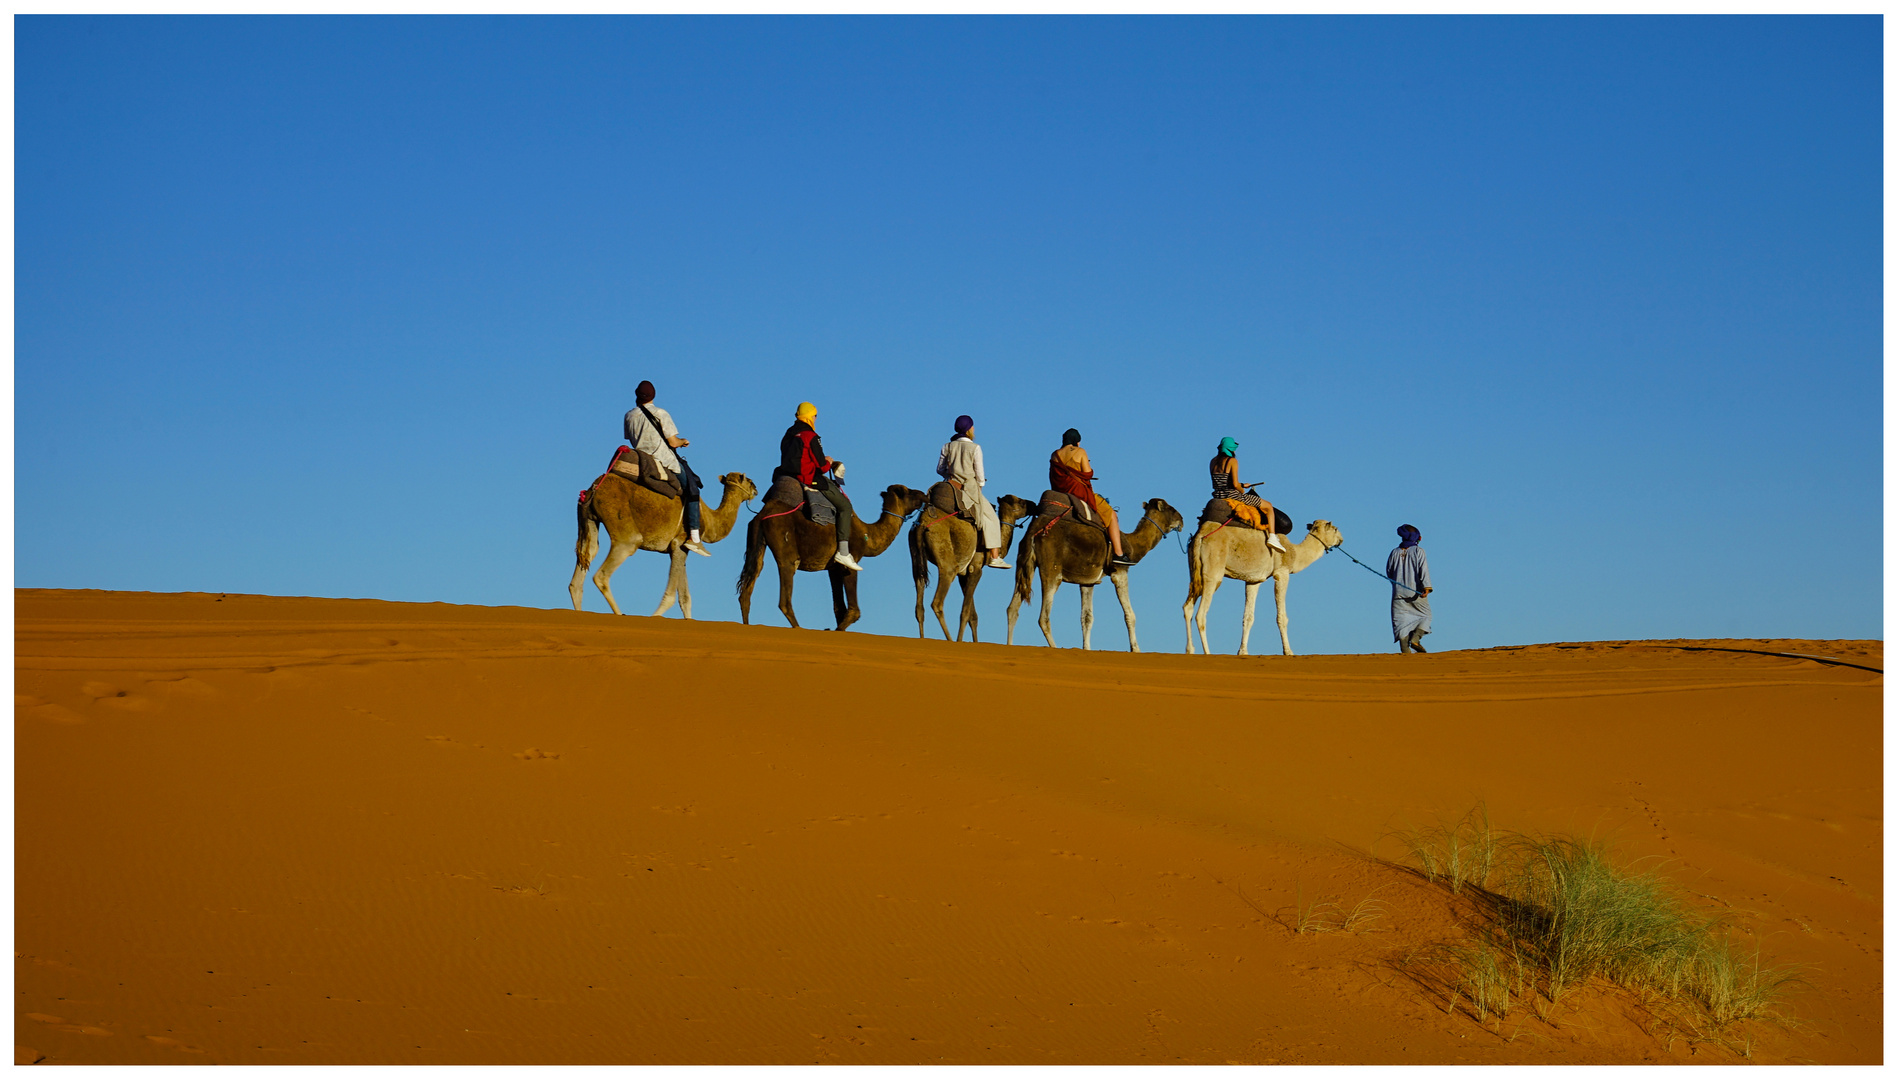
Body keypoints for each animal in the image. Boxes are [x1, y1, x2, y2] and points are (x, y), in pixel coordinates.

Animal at [569, 468, 755, 614]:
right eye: (749, 481)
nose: (756, 490)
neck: (709, 520)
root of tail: (594, 488)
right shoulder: (679, 543)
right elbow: (672, 597)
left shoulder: (679, 549)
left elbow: (685, 599)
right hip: (621, 524)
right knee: (604, 572)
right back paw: (621, 614)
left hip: (589, 520)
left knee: (585, 561)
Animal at [732, 482, 926, 626]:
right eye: (906, 491)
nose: (924, 494)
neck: (867, 534)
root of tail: (761, 515)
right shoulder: (851, 561)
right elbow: (853, 611)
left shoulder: (833, 568)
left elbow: (839, 609)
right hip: (785, 548)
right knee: (784, 599)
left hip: (757, 545)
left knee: (746, 591)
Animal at [907, 493, 1040, 641]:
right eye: (1021, 502)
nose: (1034, 505)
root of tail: (922, 524)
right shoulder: (975, 569)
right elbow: (965, 612)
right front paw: (960, 640)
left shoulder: (963, 575)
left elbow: (973, 616)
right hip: (947, 563)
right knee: (937, 602)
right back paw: (950, 639)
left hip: (916, 559)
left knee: (919, 605)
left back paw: (922, 638)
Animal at [1002, 493, 1176, 649]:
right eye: (1172, 509)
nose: (1180, 521)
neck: (1133, 544)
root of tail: (1034, 533)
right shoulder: (1120, 571)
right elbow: (1130, 615)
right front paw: (1136, 649)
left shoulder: (1087, 581)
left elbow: (1086, 618)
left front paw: (1086, 648)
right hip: (1051, 569)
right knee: (1043, 617)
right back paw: (1056, 647)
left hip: (1023, 564)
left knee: (1012, 608)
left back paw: (1009, 645)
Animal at [1176, 516, 1343, 656]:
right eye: (1335, 529)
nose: (1341, 539)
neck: (1295, 553)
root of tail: (1200, 536)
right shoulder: (1282, 573)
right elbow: (1282, 617)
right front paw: (1288, 651)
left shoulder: (1253, 580)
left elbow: (1248, 617)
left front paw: (1243, 652)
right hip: (1213, 571)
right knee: (1201, 614)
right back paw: (1208, 653)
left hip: (1194, 571)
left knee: (1187, 607)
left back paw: (1190, 650)